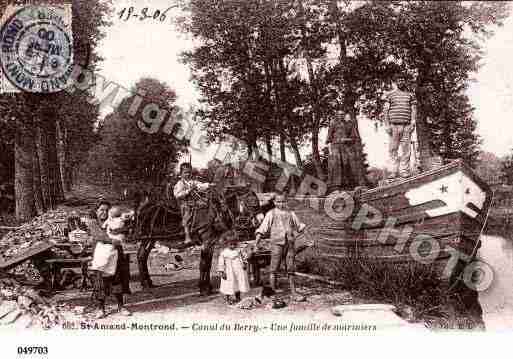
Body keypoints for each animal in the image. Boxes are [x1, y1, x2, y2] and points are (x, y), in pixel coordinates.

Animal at [131, 186, 268, 296]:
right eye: (253, 203)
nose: (262, 220)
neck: (214, 213)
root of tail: (143, 208)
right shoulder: (206, 242)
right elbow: (204, 264)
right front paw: (204, 289)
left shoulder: (211, 243)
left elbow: (208, 264)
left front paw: (207, 287)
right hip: (146, 238)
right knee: (141, 256)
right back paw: (146, 283)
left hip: (151, 240)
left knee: (142, 256)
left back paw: (147, 283)